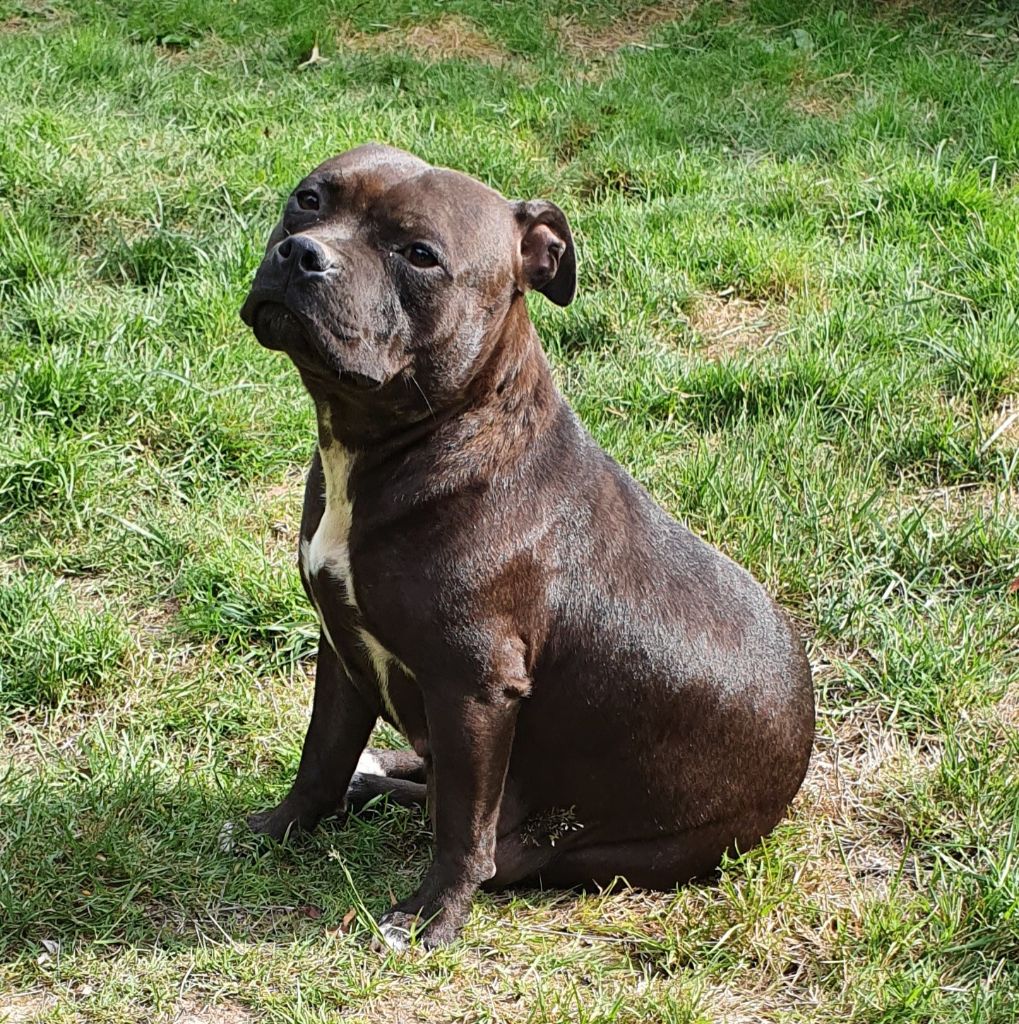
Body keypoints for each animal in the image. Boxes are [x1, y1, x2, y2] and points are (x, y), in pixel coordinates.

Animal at [236, 140, 811, 946]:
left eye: (419, 254)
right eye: (310, 200)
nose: (302, 253)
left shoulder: (475, 690)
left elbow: (460, 830)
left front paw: (429, 918)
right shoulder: (341, 648)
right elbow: (320, 755)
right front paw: (281, 827)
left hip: (583, 841)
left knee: (486, 837)